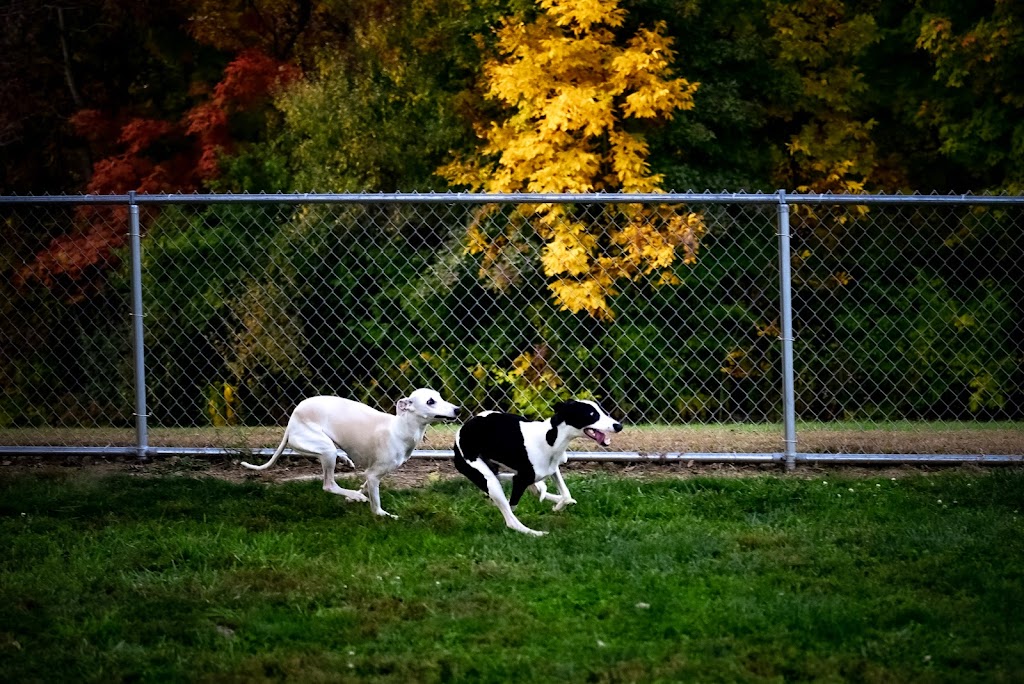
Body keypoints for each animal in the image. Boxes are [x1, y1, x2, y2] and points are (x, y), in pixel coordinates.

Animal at [241, 387, 458, 516]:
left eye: (440, 397)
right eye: (430, 401)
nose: (458, 409)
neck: (400, 428)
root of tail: (292, 420)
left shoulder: (373, 474)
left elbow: (365, 485)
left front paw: (353, 496)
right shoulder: (373, 474)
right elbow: (376, 505)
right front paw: (384, 515)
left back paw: (345, 463)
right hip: (325, 450)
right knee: (328, 485)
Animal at [456, 397, 622, 536]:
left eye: (602, 411)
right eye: (592, 414)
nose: (619, 426)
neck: (550, 437)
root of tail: (461, 430)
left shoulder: (552, 468)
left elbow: (566, 494)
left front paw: (558, 505)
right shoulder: (520, 480)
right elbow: (512, 507)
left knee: (523, 485)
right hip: (489, 480)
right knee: (510, 518)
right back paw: (535, 533)